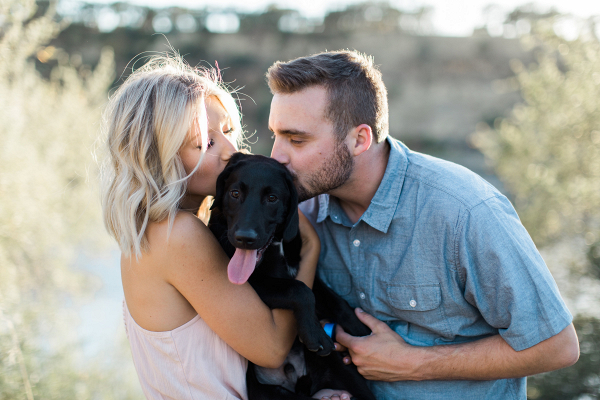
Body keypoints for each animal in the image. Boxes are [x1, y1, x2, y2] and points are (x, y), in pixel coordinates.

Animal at [209, 153, 372, 400]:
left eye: (272, 198)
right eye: (234, 194)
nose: (244, 238)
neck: (277, 246)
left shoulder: (308, 274)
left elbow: (333, 299)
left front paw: (361, 331)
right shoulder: (250, 284)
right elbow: (299, 290)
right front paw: (315, 334)